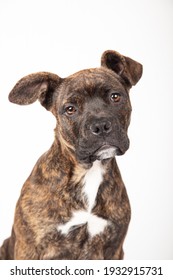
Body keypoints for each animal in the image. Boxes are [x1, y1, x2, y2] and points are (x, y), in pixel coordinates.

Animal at [0, 50, 143, 260]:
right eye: (70, 109)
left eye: (115, 97)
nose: (100, 126)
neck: (88, 171)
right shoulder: (29, 249)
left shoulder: (114, 249)